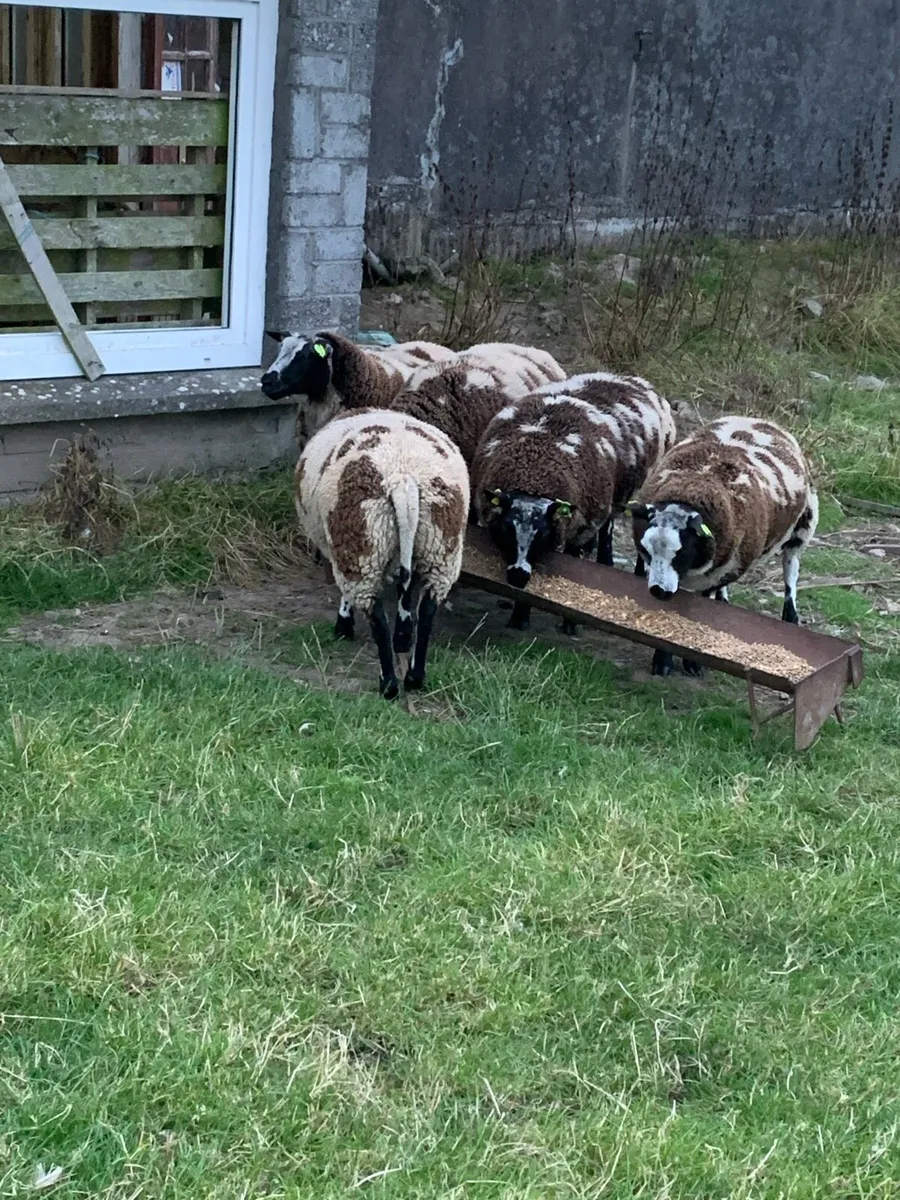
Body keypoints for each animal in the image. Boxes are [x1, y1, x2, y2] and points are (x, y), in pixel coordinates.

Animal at [295, 408, 470, 699]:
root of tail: (403, 479)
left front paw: (344, 624)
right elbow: (405, 594)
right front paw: (402, 634)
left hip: (362, 539)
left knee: (376, 615)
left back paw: (388, 684)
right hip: (440, 547)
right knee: (427, 609)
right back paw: (414, 677)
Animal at [472, 371, 676, 632]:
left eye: (543, 534)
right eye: (507, 529)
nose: (518, 575)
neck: (533, 468)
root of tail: (627, 377)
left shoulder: (581, 527)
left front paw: (567, 623)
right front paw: (519, 617)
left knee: (608, 530)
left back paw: (609, 562)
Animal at [628, 415, 819, 677]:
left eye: (681, 552)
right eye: (646, 551)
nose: (659, 591)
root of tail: (757, 420)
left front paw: (691, 662)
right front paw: (663, 660)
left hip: (803, 527)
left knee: (790, 569)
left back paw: (790, 615)